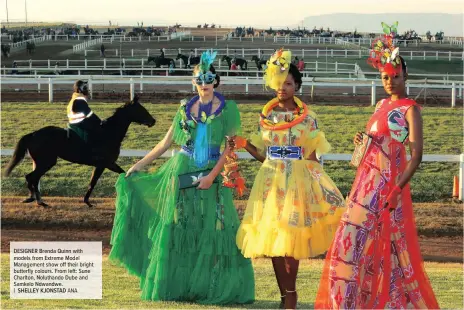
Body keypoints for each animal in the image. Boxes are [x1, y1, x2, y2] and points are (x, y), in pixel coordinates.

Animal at [2, 95, 157, 208]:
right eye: (141, 109)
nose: (153, 121)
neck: (108, 133)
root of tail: (33, 134)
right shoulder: (106, 164)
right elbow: (98, 181)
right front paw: (87, 202)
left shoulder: (102, 165)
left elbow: (93, 181)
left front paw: (87, 201)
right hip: (46, 162)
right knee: (31, 177)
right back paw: (36, 200)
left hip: (44, 163)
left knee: (33, 178)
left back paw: (37, 199)